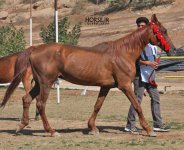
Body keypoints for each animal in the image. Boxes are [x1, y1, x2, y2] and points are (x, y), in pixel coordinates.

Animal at [0, 13, 175, 136]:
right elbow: (137, 106)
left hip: (38, 83)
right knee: (40, 104)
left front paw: (92, 128)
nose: (173, 50)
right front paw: (149, 129)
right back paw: (51, 131)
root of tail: (35, 48)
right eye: (164, 31)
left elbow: (97, 106)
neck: (123, 53)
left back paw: (21, 126)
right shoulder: (125, 86)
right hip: (46, 83)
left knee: (26, 99)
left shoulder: (105, 86)